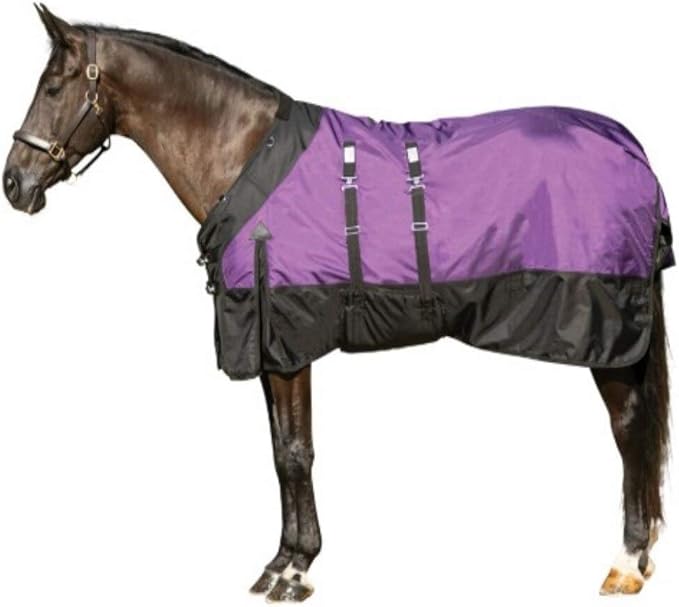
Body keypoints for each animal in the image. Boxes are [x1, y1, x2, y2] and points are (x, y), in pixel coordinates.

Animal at [3, 5, 672, 602]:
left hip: (608, 334)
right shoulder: (270, 347)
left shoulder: (289, 338)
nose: (14, 183)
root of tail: (632, 149)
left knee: (629, 428)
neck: (243, 155)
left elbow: (297, 453)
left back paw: (626, 563)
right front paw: (281, 561)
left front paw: (295, 571)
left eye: (54, 86)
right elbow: (281, 453)